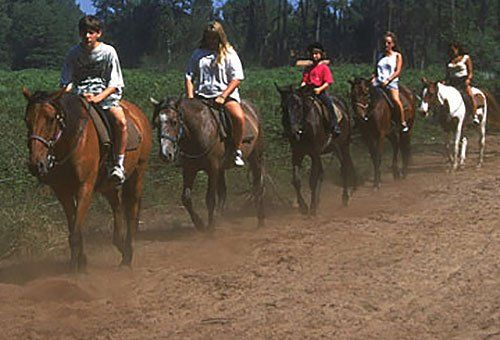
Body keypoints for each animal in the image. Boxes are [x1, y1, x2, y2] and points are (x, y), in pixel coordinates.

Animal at [23, 87, 152, 270]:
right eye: (27, 120)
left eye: (50, 119)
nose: (36, 164)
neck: (73, 138)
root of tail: (138, 114)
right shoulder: (62, 191)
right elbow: (74, 228)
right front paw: (79, 260)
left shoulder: (85, 187)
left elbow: (76, 232)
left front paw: (77, 268)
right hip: (107, 184)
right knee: (117, 205)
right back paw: (120, 245)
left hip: (138, 172)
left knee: (132, 209)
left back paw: (128, 255)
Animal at [149, 96, 264, 231]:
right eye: (157, 123)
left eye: (174, 122)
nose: (165, 154)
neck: (199, 130)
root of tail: (253, 109)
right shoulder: (189, 169)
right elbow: (186, 198)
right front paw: (200, 225)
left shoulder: (212, 168)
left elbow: (210, 199)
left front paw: (210, 229)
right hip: (221, 169)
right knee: (223, 192)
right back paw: (220, 218)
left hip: (256, 157)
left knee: (258, 185)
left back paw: (261, 221)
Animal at [278, 84, 356, 212]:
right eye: (283, 107)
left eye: (298, 106)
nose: (292, 131)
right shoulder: (297, 154)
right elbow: (296, 180)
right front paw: (304, 207)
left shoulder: (314, 153)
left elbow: (312, 180)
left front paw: (312, 208)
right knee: (323, 172)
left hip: (342, 146)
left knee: (344, 168)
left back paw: (345, 198)